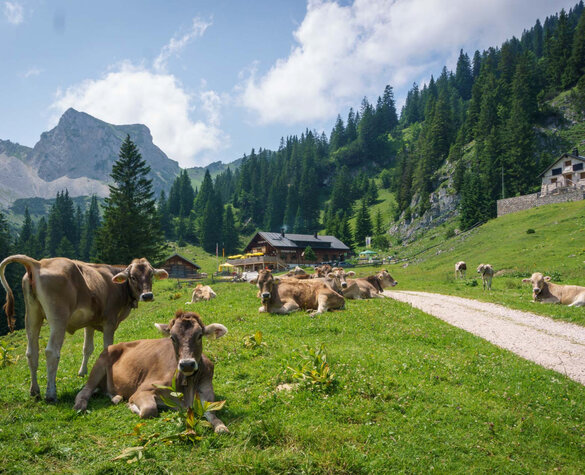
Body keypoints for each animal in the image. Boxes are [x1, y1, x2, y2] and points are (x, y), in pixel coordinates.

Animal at [0, 255, 169, 404]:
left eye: (151, 275)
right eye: (133, 277)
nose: (147, 295)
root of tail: (39, 263)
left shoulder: (90, 322)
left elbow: (87, 348)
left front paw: (82, 372)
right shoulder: (110, 321)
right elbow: (108, 348)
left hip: (32, 316)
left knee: (31, 353)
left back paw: (35, 392)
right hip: (58, 318)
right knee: (51, 352)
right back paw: (51, 394)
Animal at [73, 310, 228, 434]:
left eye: (199, 335)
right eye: (172, 337)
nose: (187, 364)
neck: (187, 387)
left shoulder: (206, 388)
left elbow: (212, 412)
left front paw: (221, 426)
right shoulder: (143, 389)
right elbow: (149, 409)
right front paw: (131, 406)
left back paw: (116, 397)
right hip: (99, 365)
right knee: (85, 390)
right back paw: (80, 405)